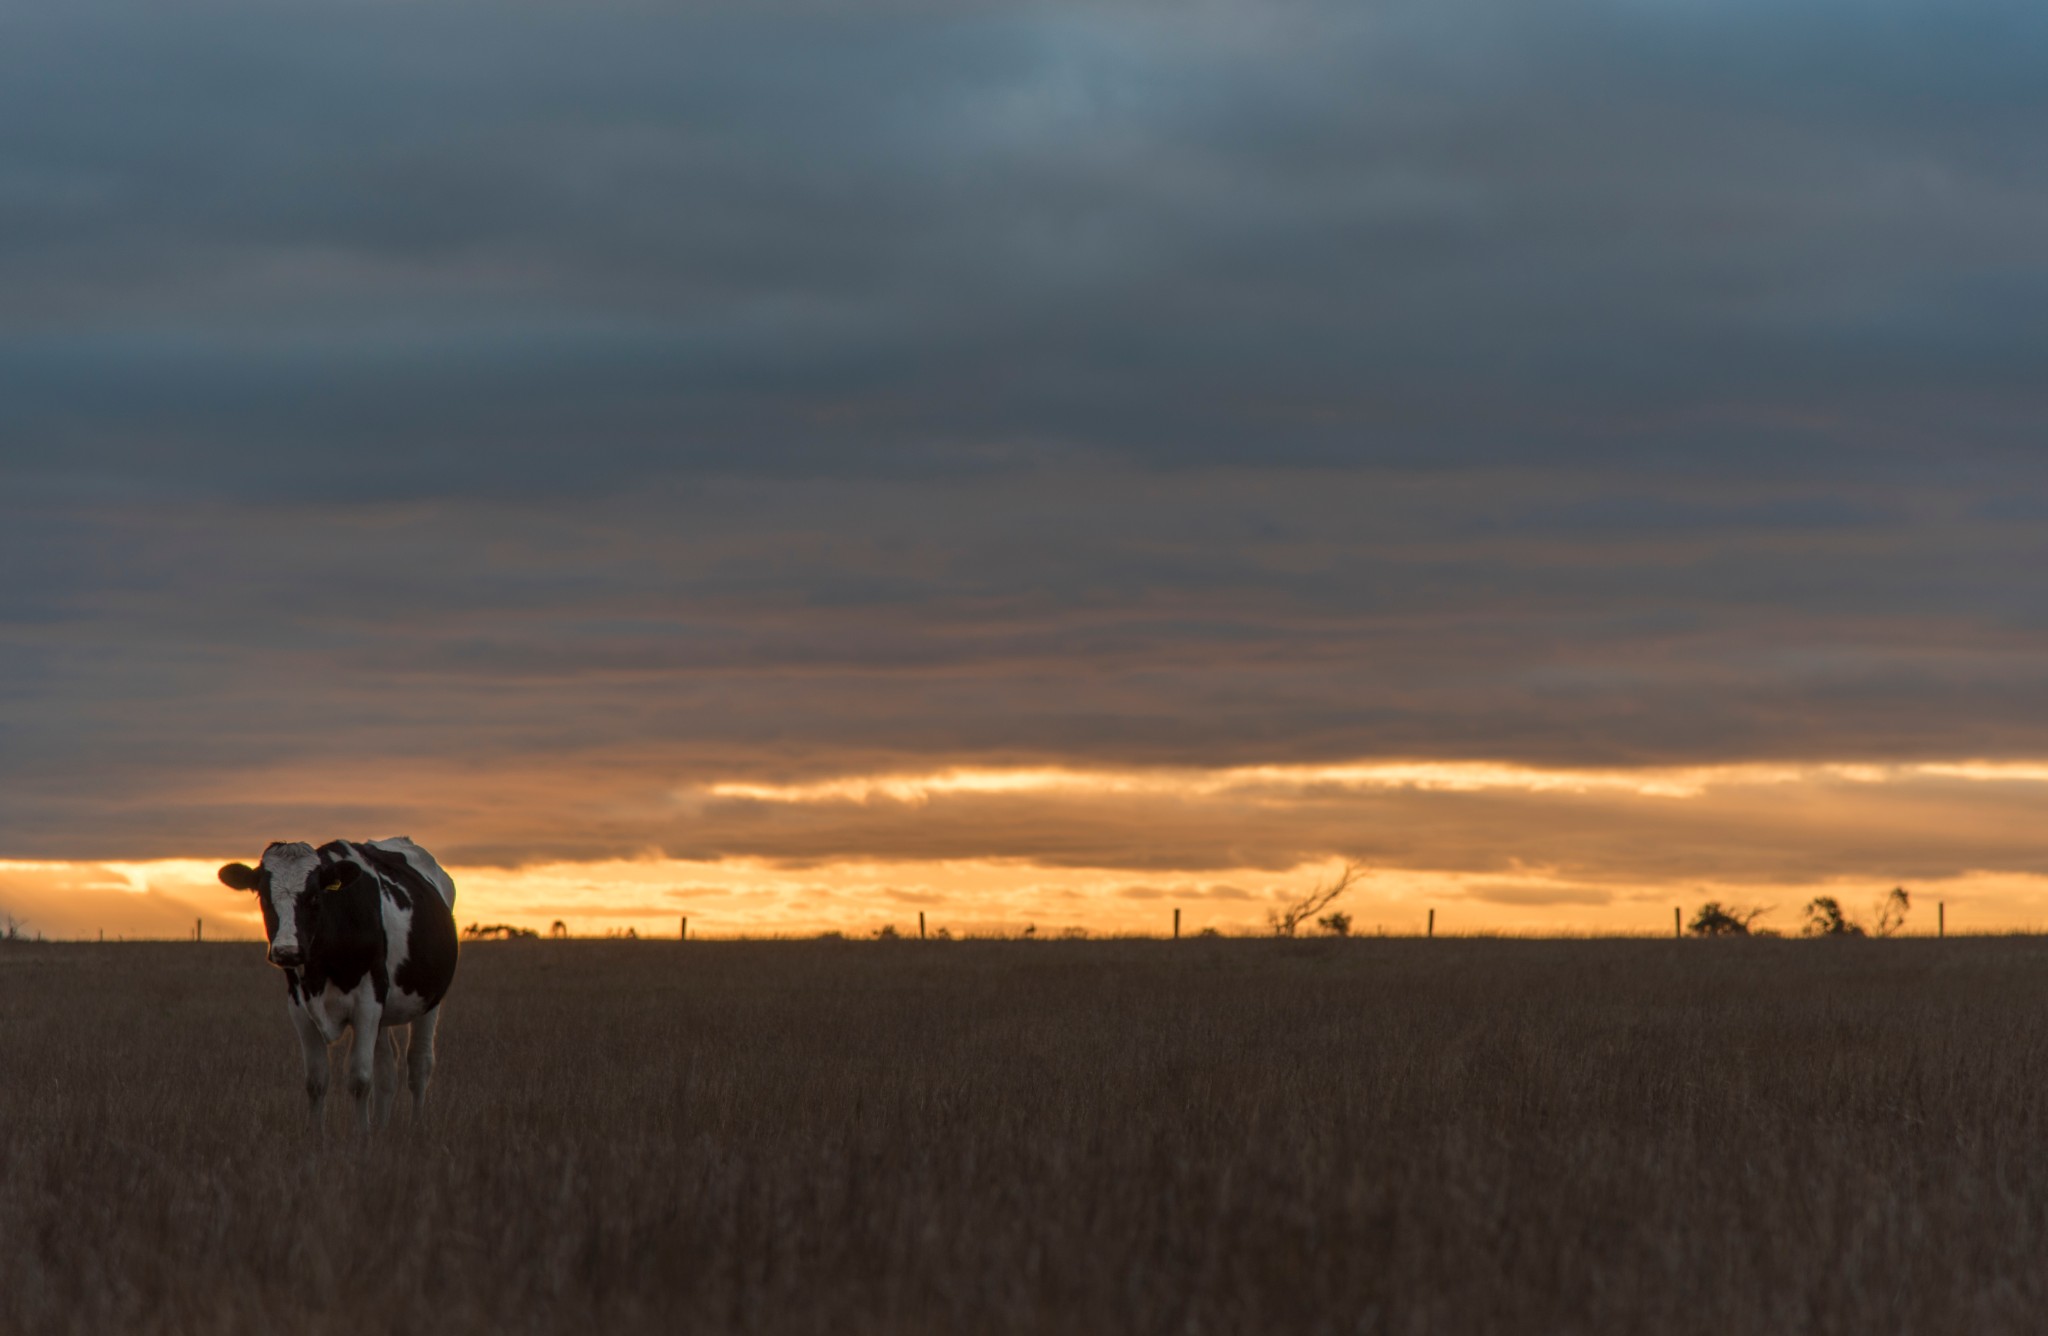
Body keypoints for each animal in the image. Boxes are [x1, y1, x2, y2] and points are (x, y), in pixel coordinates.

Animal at [220, 840, 460, 1131]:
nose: (287, 951)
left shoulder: (367, 1004)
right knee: (387, 1069)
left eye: (314, 898)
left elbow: (360, 1079)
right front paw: (317, 1134)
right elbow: (316, 1081)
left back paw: (415, 1126)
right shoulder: (300, 1008)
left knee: (419, 1063)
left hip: (429, 999)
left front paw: (361, 1135)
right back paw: (381, 1128)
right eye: (264, 898)